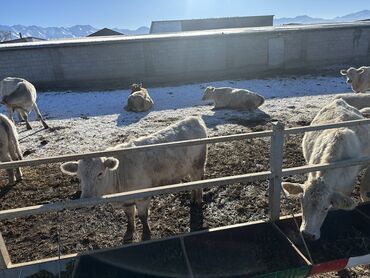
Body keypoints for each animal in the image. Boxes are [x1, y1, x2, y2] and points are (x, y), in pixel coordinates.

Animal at [59, 115, 207, 241]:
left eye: (100, 173)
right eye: (78, 177)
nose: (87, 199)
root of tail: (194, 119)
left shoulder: (142, 196)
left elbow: (142, 216)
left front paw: (146, 234)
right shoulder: (126, 201)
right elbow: (129, 217)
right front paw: (129, 232)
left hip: (198, 166)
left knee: (199, 183)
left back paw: (197, 200)